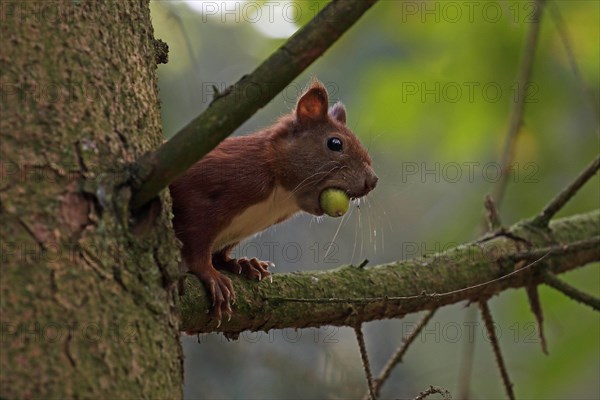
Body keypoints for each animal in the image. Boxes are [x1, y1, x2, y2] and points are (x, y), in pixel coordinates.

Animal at [170, 79, 376, 320]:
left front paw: (241, 264)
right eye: (335, 143)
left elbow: (221, 252)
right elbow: (196, 241)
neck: (281, 195)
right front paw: (211, 274)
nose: (372, 181)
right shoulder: (204, 188)